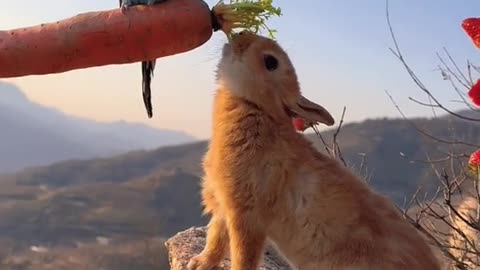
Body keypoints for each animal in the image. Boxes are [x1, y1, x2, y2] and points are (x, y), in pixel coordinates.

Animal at [186, 31, 440, 270]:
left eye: (271, 62)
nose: (239, 36)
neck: (260, 109)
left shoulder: (245, 215)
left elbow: (242, 255)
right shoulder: (224, 205)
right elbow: (216, 238)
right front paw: (199, 263)